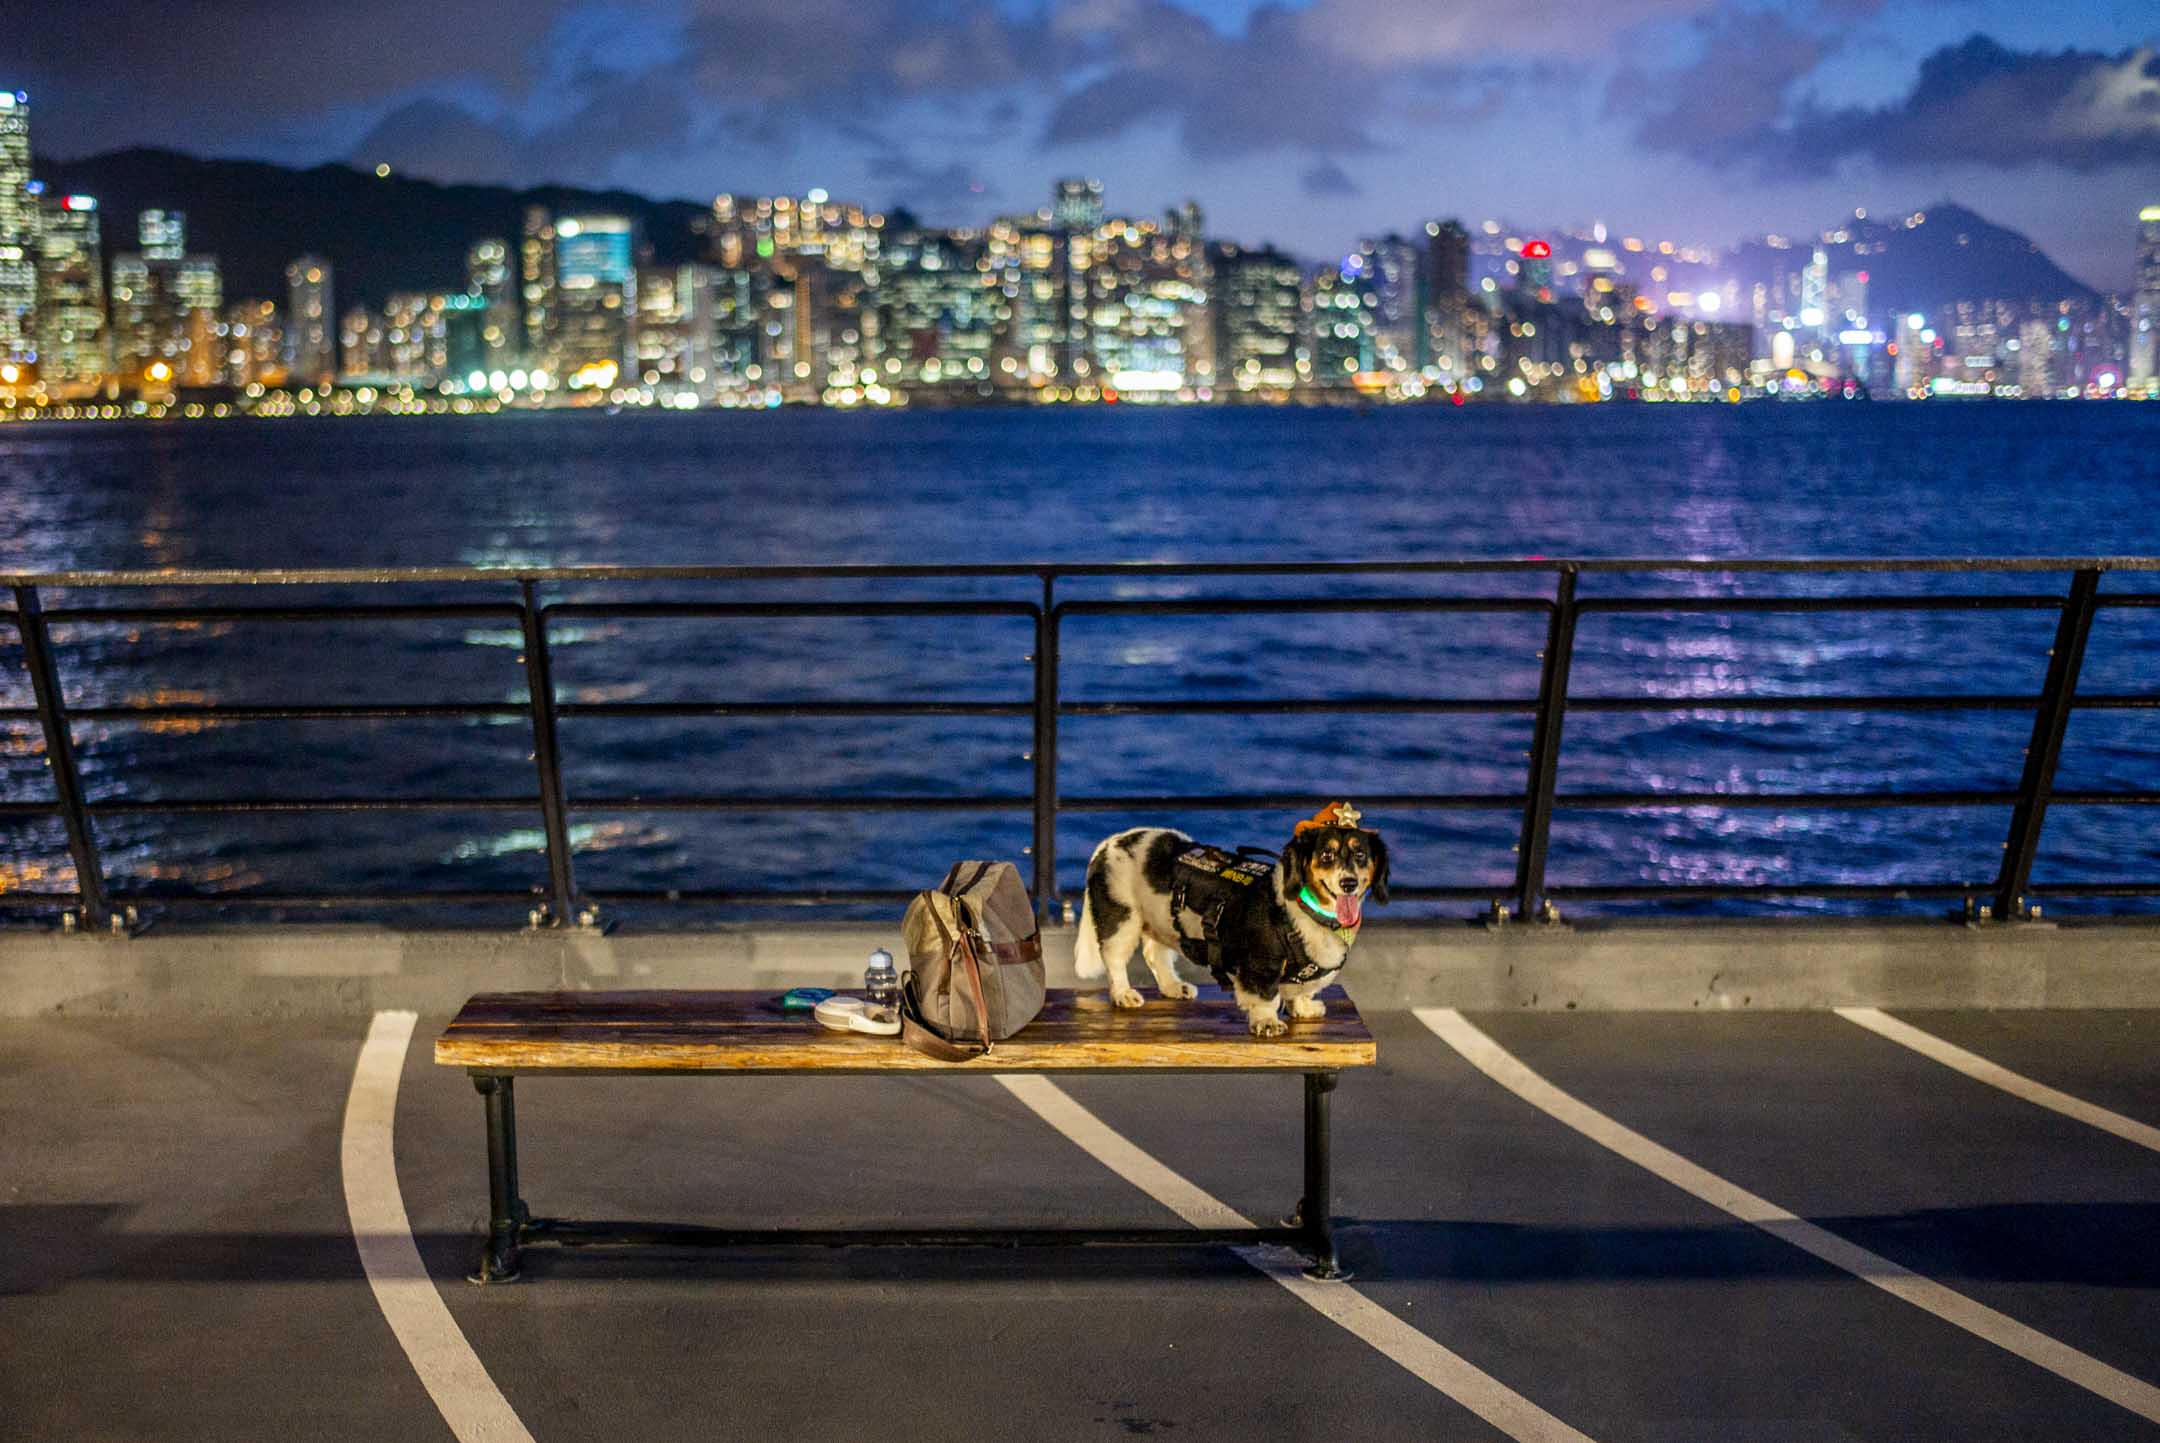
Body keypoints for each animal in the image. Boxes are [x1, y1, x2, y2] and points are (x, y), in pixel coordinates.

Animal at [1075, 807, 1391, 1032]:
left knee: (1156, 954)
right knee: (1114, 959)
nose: (1349, 883)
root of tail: (1110, 843)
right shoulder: (1259, 966)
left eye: (1360, 855)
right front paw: (1267, 1022)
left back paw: (1173, 987)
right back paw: (1124, 994)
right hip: (1122, 920)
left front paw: (1304, 1007)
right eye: (1326, 855)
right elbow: (1267, 996)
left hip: (1160, 919)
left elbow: (1300, 992)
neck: (1305, 908)